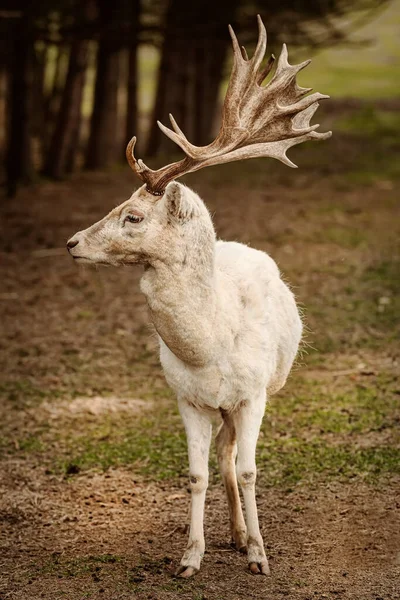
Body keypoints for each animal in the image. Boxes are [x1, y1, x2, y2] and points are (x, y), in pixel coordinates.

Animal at [67, 17, 330, 576]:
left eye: (133, 216)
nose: (73, 242)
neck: (211, 347)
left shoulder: (253, 395)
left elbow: (251, 471)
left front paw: (260, 556)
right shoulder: (186, 397)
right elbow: (196, 475)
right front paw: (190, 558)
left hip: (254, 394)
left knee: (234, 458)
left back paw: (245, 537)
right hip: (217, 409)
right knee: (223, 458)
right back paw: (232, 533)